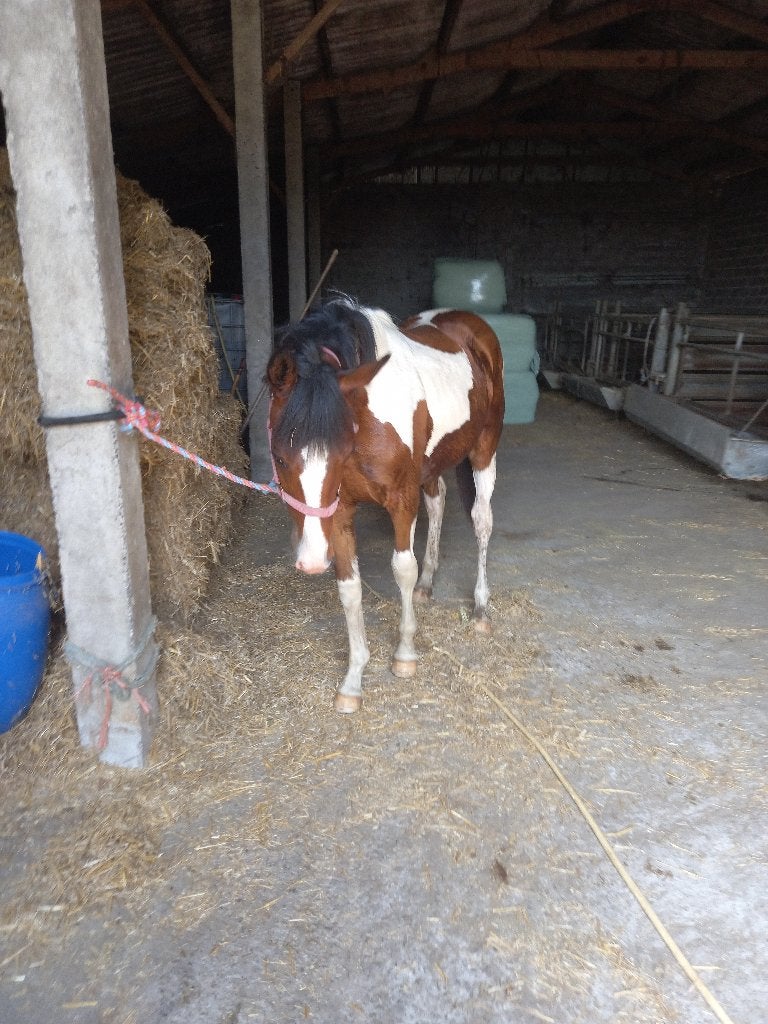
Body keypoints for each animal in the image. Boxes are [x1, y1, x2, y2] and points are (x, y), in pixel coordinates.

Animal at [265, 295, 505, 713]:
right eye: (280, 456)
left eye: (340, 451)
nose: (311, 560)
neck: (365, 415)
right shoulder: (339, 511)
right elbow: (349, 587)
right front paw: (353, 679)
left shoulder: (400, 500)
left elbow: (402, 569)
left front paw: (405, 654)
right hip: (432, 465)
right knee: (438, 502)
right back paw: (428, 584)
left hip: (484, 449)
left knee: (481, 520)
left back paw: (480, 608)